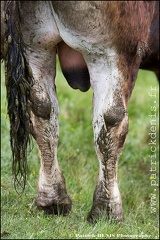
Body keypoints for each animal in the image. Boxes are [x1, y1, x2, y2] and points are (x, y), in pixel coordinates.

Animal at [0, 0, 159, 223]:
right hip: (112, 54)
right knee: (111, 120)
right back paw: (107, 211)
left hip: (35, 46)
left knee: (43, 111)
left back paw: (53, 200)